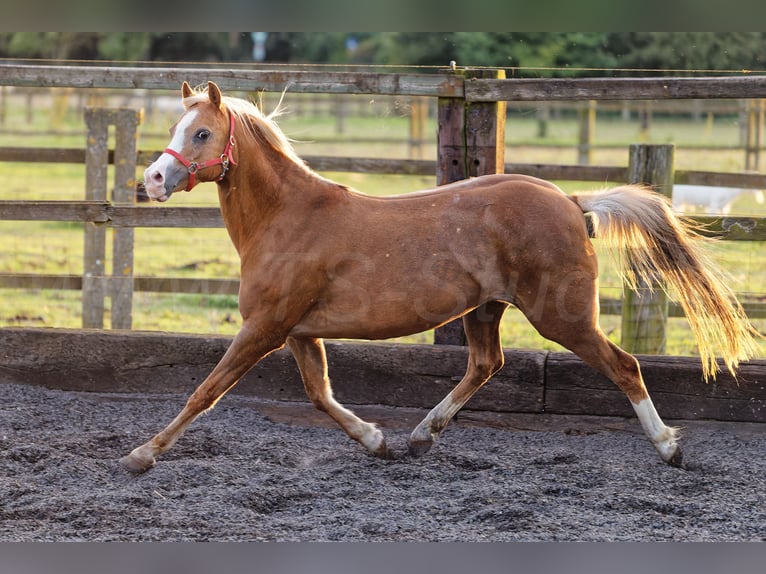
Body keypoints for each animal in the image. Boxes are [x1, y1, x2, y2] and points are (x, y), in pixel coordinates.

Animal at [121, 82, 760, 476]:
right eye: (176, 127)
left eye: (201, 133)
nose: (151, 180)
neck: (288, 218)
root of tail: (572, 200)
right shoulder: (299, 331)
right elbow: (320, 394)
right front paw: (377, 440)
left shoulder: (264, 327)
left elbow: (205, 391)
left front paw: (140, 455)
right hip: (486, 309)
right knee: (486, 364)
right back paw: (422, 434)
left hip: (562, 317)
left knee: (624, 366)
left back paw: (669, 446)